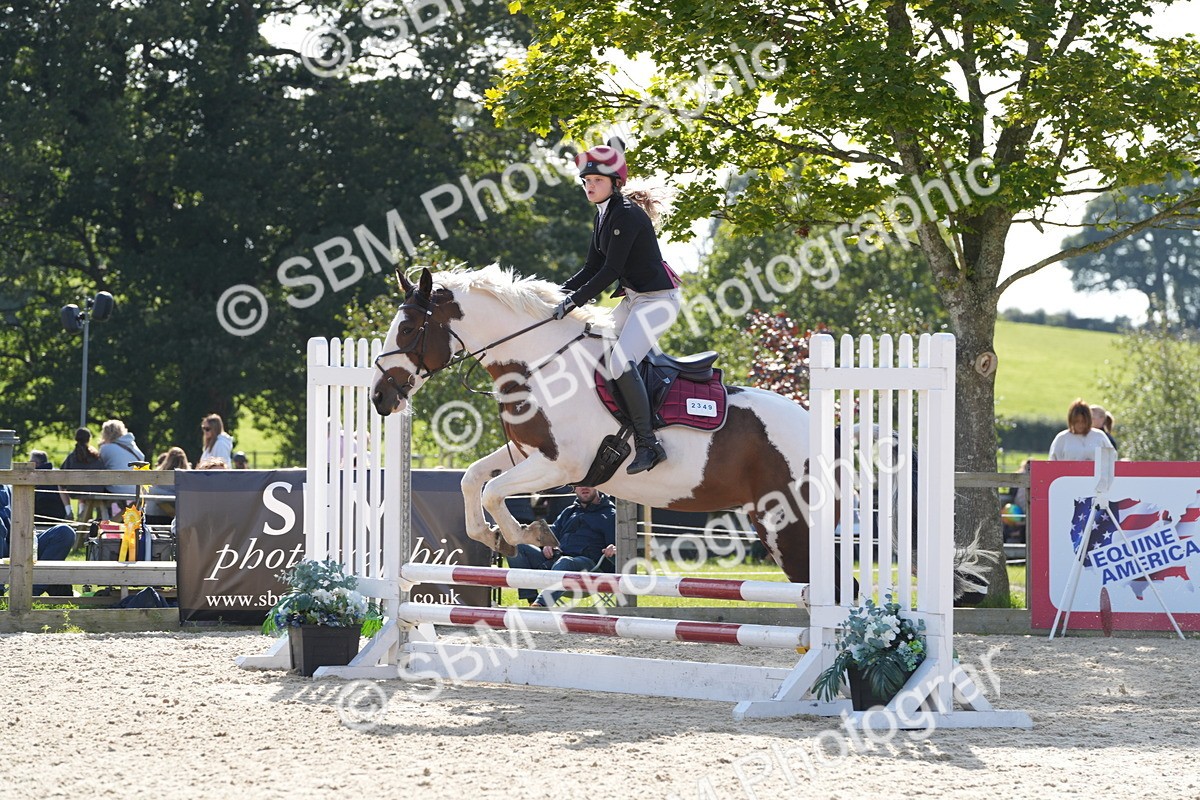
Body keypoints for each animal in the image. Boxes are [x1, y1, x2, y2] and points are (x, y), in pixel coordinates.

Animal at [371, 264, 988, 597]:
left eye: (409, 327)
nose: (380, 398)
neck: (540, 362)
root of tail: (832, 432)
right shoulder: (528, 455)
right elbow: (474, 480)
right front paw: (496, 535)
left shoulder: (562, 465)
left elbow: (498, 492)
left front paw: (526, 534)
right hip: (776, 526)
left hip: (796, 527)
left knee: (840, 589)